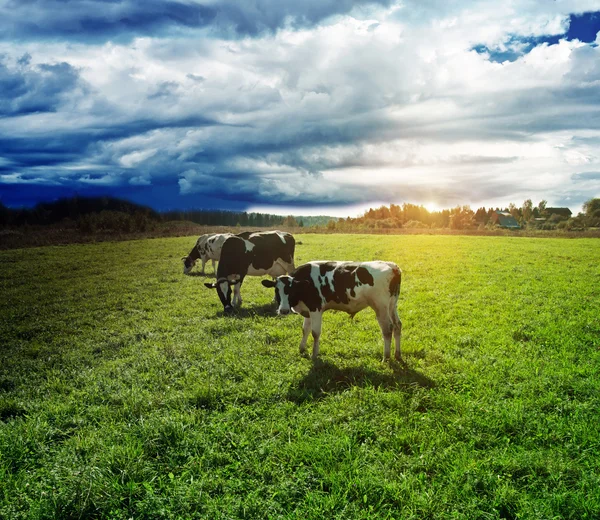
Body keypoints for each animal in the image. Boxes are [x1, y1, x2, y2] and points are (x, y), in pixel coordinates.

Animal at [262, 260, 404, 362]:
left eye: (291, 290)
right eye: (276, 290)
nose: (284, 310)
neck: (305, 284)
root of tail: (392, 266)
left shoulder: (316, 309)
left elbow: (315, 333)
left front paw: (314, 354)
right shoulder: (308, 310)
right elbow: (305, 329)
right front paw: (302, 349)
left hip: (381, 307)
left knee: (387, 329)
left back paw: (386, 357)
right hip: (392, 305)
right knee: (397, 325)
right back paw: (397, 355)